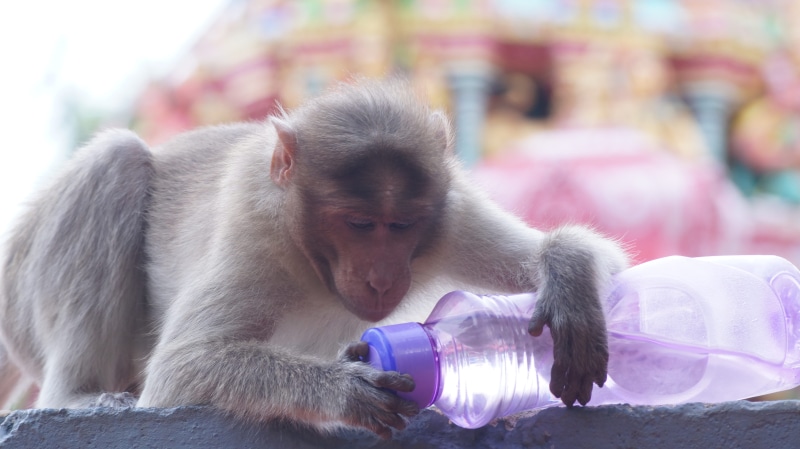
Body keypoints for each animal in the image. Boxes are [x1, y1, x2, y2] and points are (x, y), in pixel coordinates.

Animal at [0, 78, 628, 438]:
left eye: (401, 225)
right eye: (358, 224)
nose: (382, 276)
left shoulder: (447, 214)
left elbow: (606, 268)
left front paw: (568, 281)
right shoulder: (256, 232)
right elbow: (182, 368)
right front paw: (345, 389)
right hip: (21, 301)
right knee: (117, 160)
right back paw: (75, 396)